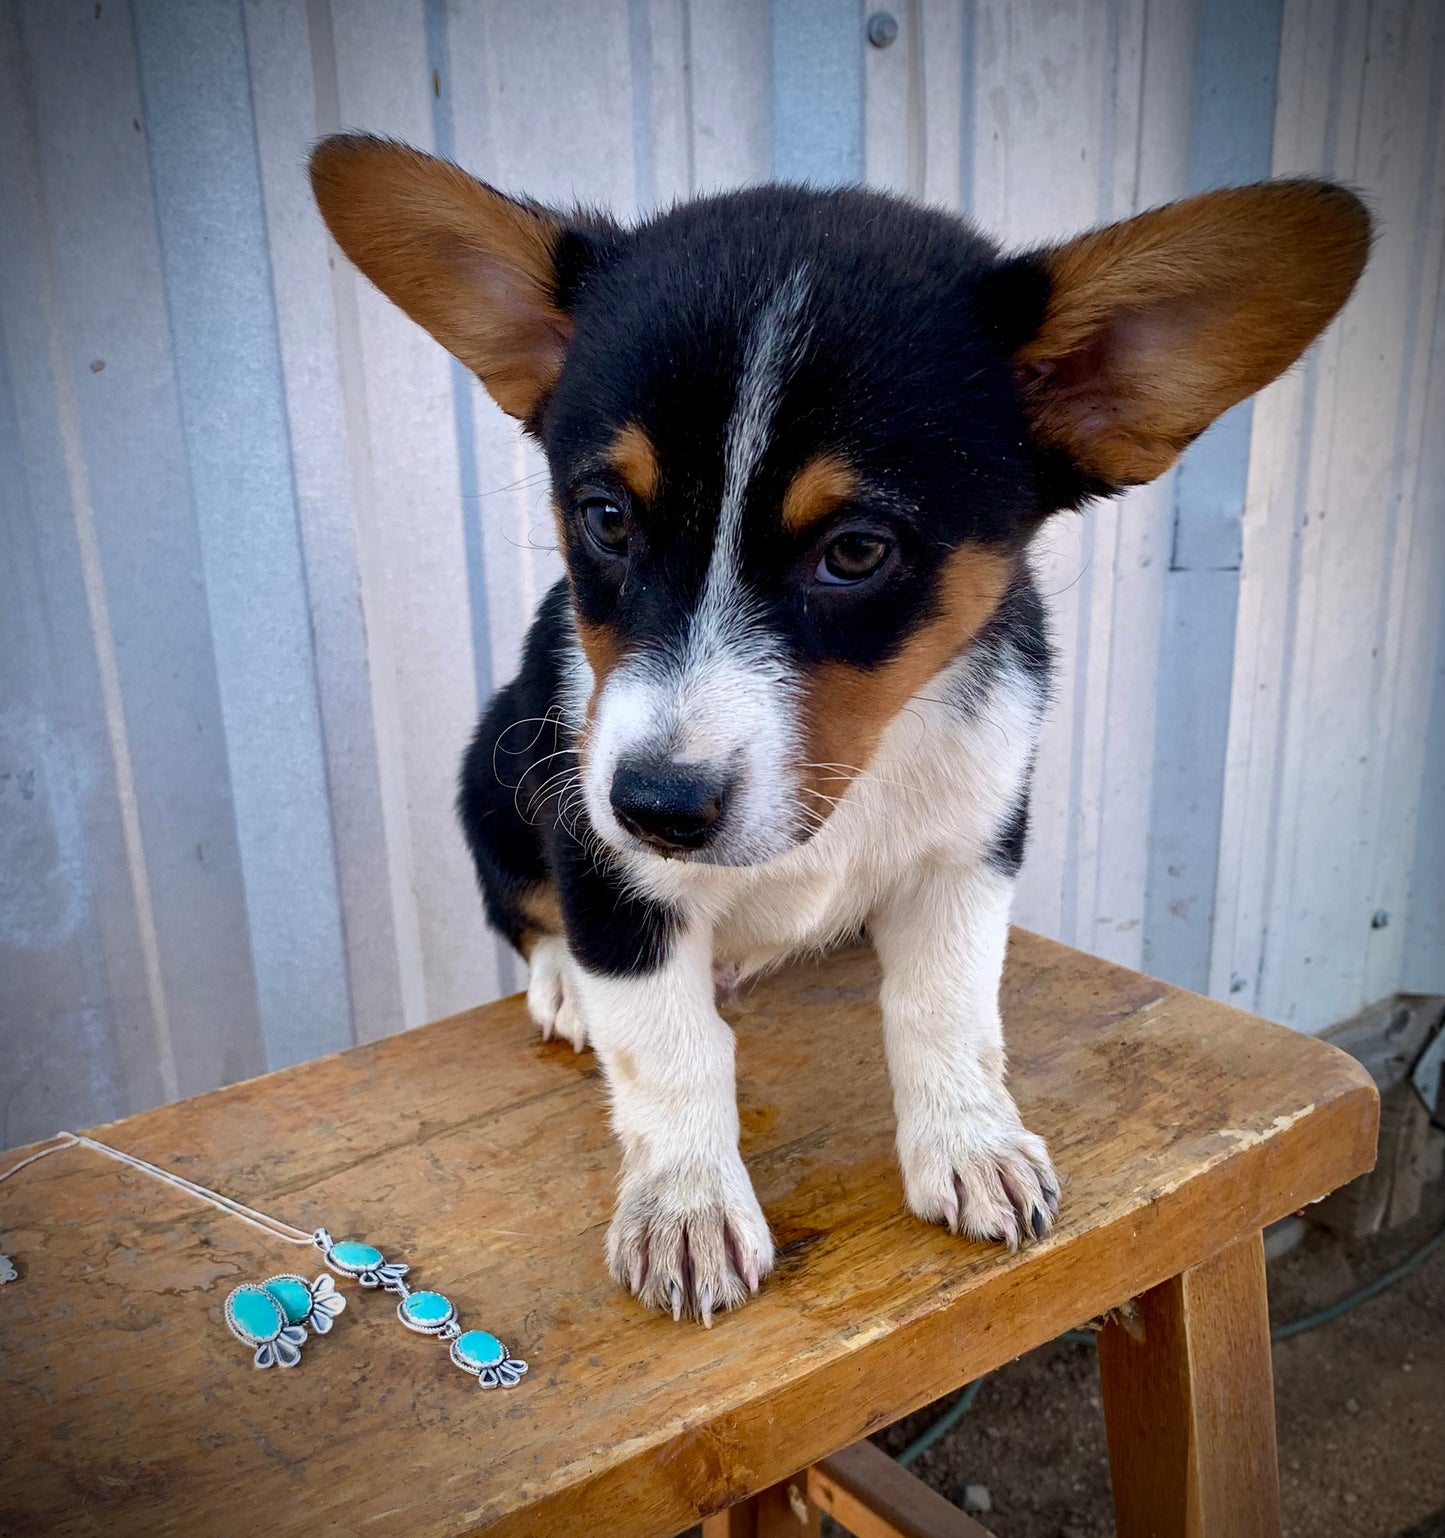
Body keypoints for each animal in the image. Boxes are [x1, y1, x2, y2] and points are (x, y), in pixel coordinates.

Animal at [310, 138, 1371, 1328]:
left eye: (856, 552)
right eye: (606, 518)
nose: (654, 808)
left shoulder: (972, 848)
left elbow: (945, 1007)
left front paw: (972, 1143)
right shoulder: (607, 871)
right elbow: (670, 1049)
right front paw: (685, 1208)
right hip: (495, 765)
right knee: (526, 914)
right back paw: (563, 989)